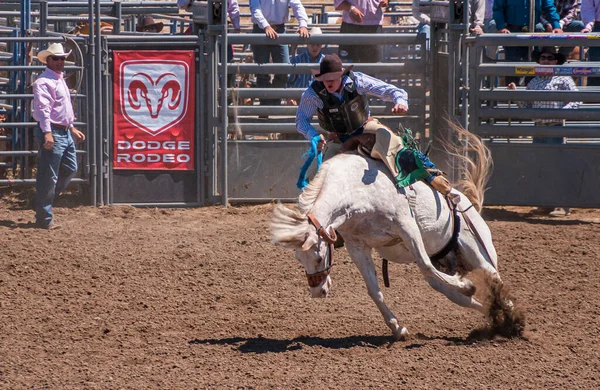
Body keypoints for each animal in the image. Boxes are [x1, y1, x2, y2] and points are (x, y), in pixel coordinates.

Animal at [270, 124, 524, 338]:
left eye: (319, 256)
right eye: (298, 259)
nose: (317, 292)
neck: (355, 191)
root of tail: (468, 203)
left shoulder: (406, 226)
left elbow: (425, 264)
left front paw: (468, 285)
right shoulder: (356, 245)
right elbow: (374, 290)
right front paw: (397, 328)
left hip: (478, 252)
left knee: (495, 281)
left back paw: (514, 319)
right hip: (448, 265)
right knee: (458, 294)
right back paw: (494, 315)